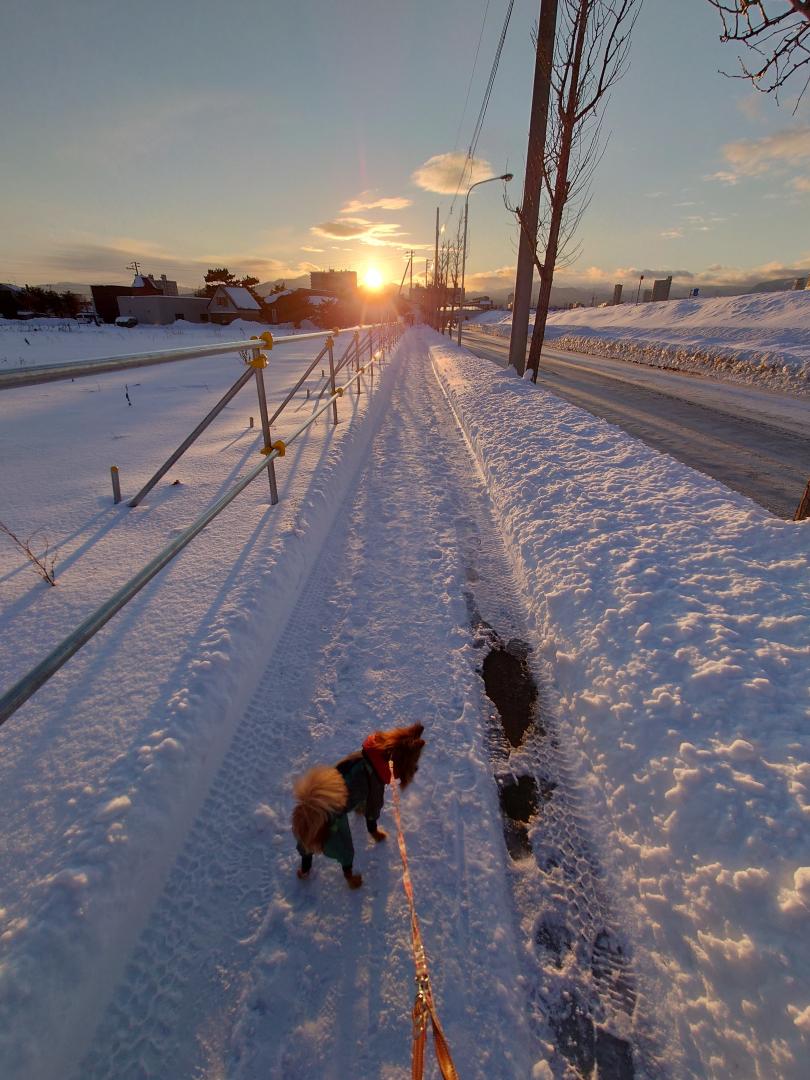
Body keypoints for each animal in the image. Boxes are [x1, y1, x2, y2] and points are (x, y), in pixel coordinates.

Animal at [295, 725, 427, 885]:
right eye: (416, 758)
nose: (417, 769)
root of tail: (308, 812)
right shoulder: (375, 796)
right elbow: (372, 823)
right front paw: (378, 836)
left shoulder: (365, 793)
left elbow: (361, 807)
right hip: (341, 840)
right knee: (346, 868)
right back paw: (355, 882)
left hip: (304, 846)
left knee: (306, 861)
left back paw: (303, 874)